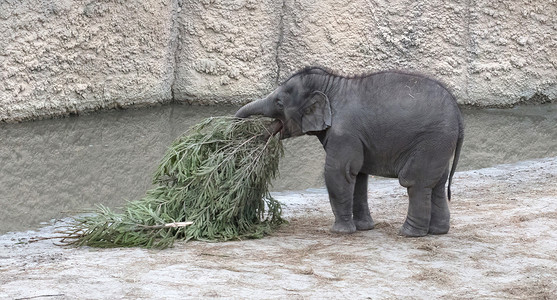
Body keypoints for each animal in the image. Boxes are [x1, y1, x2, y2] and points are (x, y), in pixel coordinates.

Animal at [236, 66, 464, 237]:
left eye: (279, 103)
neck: (331, 85)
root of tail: (459, 114)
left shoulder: (344, 133)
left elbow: (339, 172)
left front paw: (340, 232)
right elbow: (359, 177)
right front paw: (364, 228)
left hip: (430, 142)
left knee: (415, 182)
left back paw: (408, 233)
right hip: (440, 145)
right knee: (437, 184)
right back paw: (437, 231)